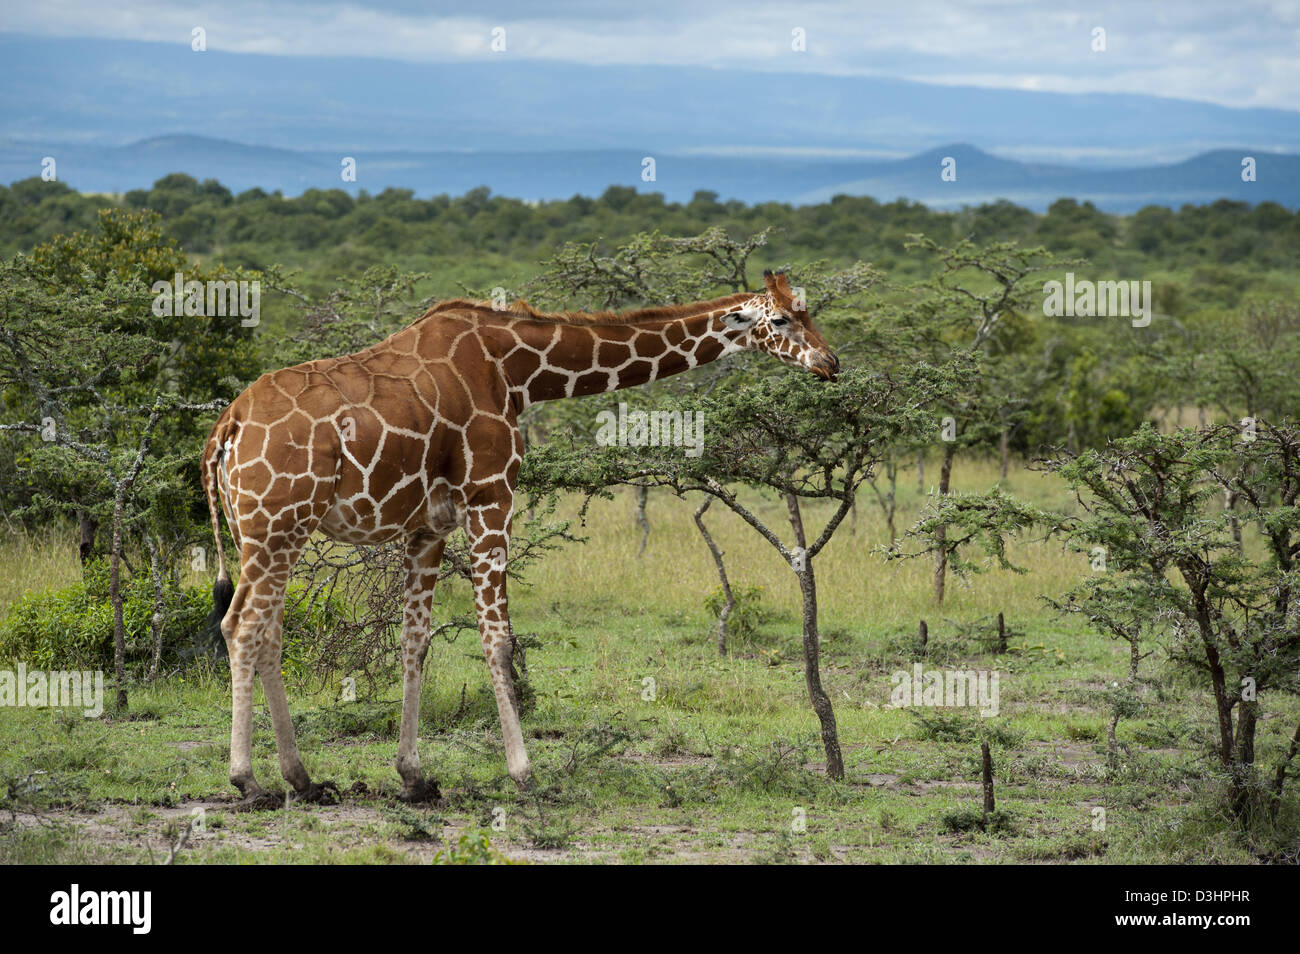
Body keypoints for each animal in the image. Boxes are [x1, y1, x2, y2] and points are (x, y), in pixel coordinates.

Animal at [200, 270, 832, 805]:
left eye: (810, 311)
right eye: (780, 320)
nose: (830, 362)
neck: (518, 371)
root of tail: (225, 429)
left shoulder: (428, 526)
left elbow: (415, 641)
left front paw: (414, 776)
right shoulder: (492, 497)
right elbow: (498, 640)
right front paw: (524, 772)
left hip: (269, 532)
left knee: (269, 632)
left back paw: (303, 779)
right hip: (277, 524)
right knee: (241, 625)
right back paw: (247, 780)